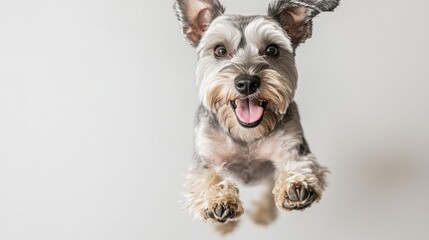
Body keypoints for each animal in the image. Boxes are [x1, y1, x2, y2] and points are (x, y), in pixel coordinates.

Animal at [173, 0, 338, 233]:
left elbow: (300, 163)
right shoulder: (205, 154)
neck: (247, 135)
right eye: (220, 50)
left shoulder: (292, 144)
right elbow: (206, 176)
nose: (247, 82)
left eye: (272, 49)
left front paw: (296, 185)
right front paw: (218, 200)